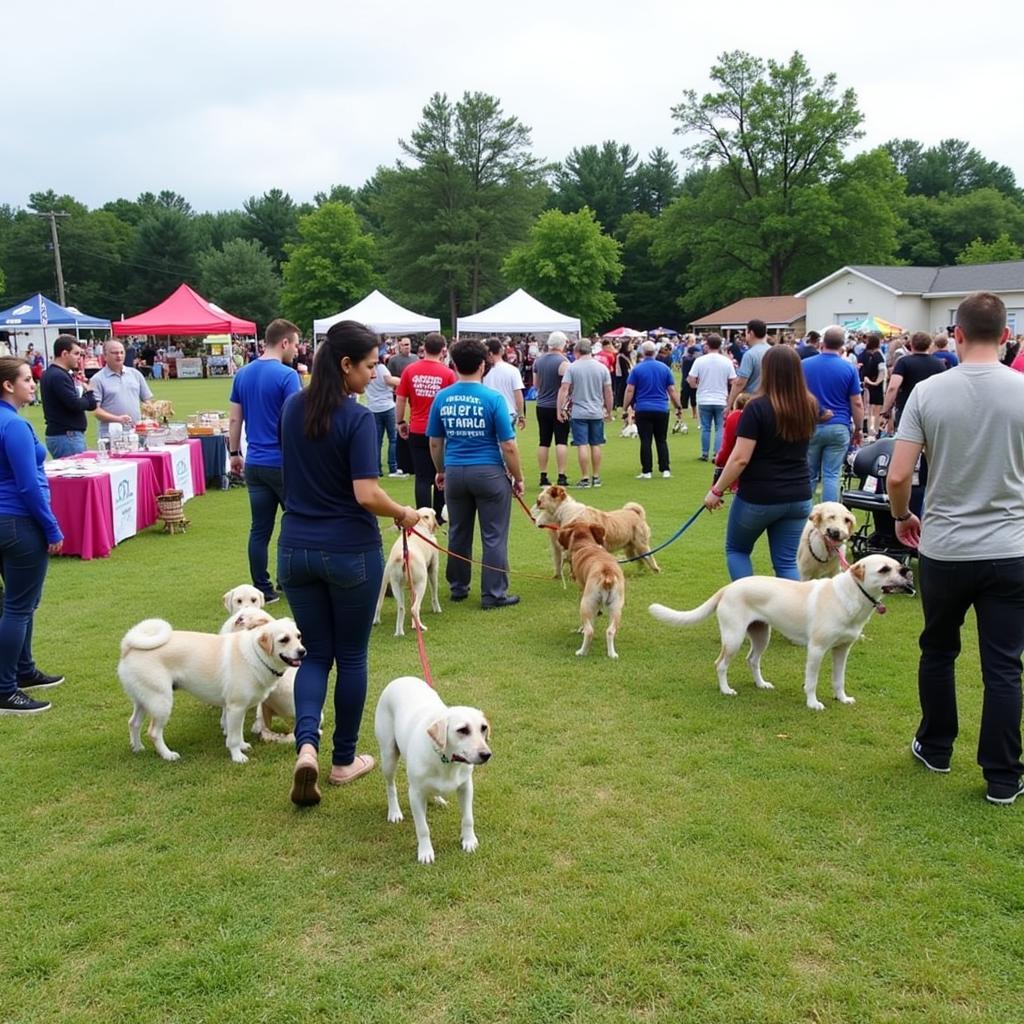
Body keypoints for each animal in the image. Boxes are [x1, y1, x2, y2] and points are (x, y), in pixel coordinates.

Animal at [118, 614, 303, 761]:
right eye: (284, 640)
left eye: (299, 636)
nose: (302, 651)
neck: (256, 654)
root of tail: (128, 647)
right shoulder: (236, 707)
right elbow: (233, 738)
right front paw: (237, 756)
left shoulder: (237, 709)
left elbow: (237, 733)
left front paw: (242, 745)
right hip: (161, 703)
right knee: (154, 733)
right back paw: (168, 755)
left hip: (143, 701)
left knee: (133, 723)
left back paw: (138, 748)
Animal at [376, 675, 491, 868]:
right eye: (462, 730)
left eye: (483, 728)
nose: (486, 754)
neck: (446, 759)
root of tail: (402, 677)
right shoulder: (415, 794)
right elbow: (423, 828)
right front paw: (425, 852)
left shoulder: (466, 787)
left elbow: (468, 818)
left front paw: (469, 840)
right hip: (389, 756)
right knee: (390, 786)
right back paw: (394, 812)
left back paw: (438, 798)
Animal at [561, 524, 622, 659]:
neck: (585, 544)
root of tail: (607, 574)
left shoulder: (582, 591)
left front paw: (581, 629)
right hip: (616, 607)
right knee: (610, 631)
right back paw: (612, 654)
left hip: (586, 603)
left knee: (589, 631)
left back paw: (581, 652)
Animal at [647, 552, 913, 712]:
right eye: (884, 569)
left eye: (897, 565)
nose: (906, 570)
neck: (851, 595)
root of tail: (728, 588)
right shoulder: (816, 649)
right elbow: (812, 681)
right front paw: (813, 703)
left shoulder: (842, 650)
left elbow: (839, 679)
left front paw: (842, 698)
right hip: (733, 638)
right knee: (720, 664)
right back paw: (726, 690)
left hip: (761, 635)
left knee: (752, 660)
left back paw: (761, 684)